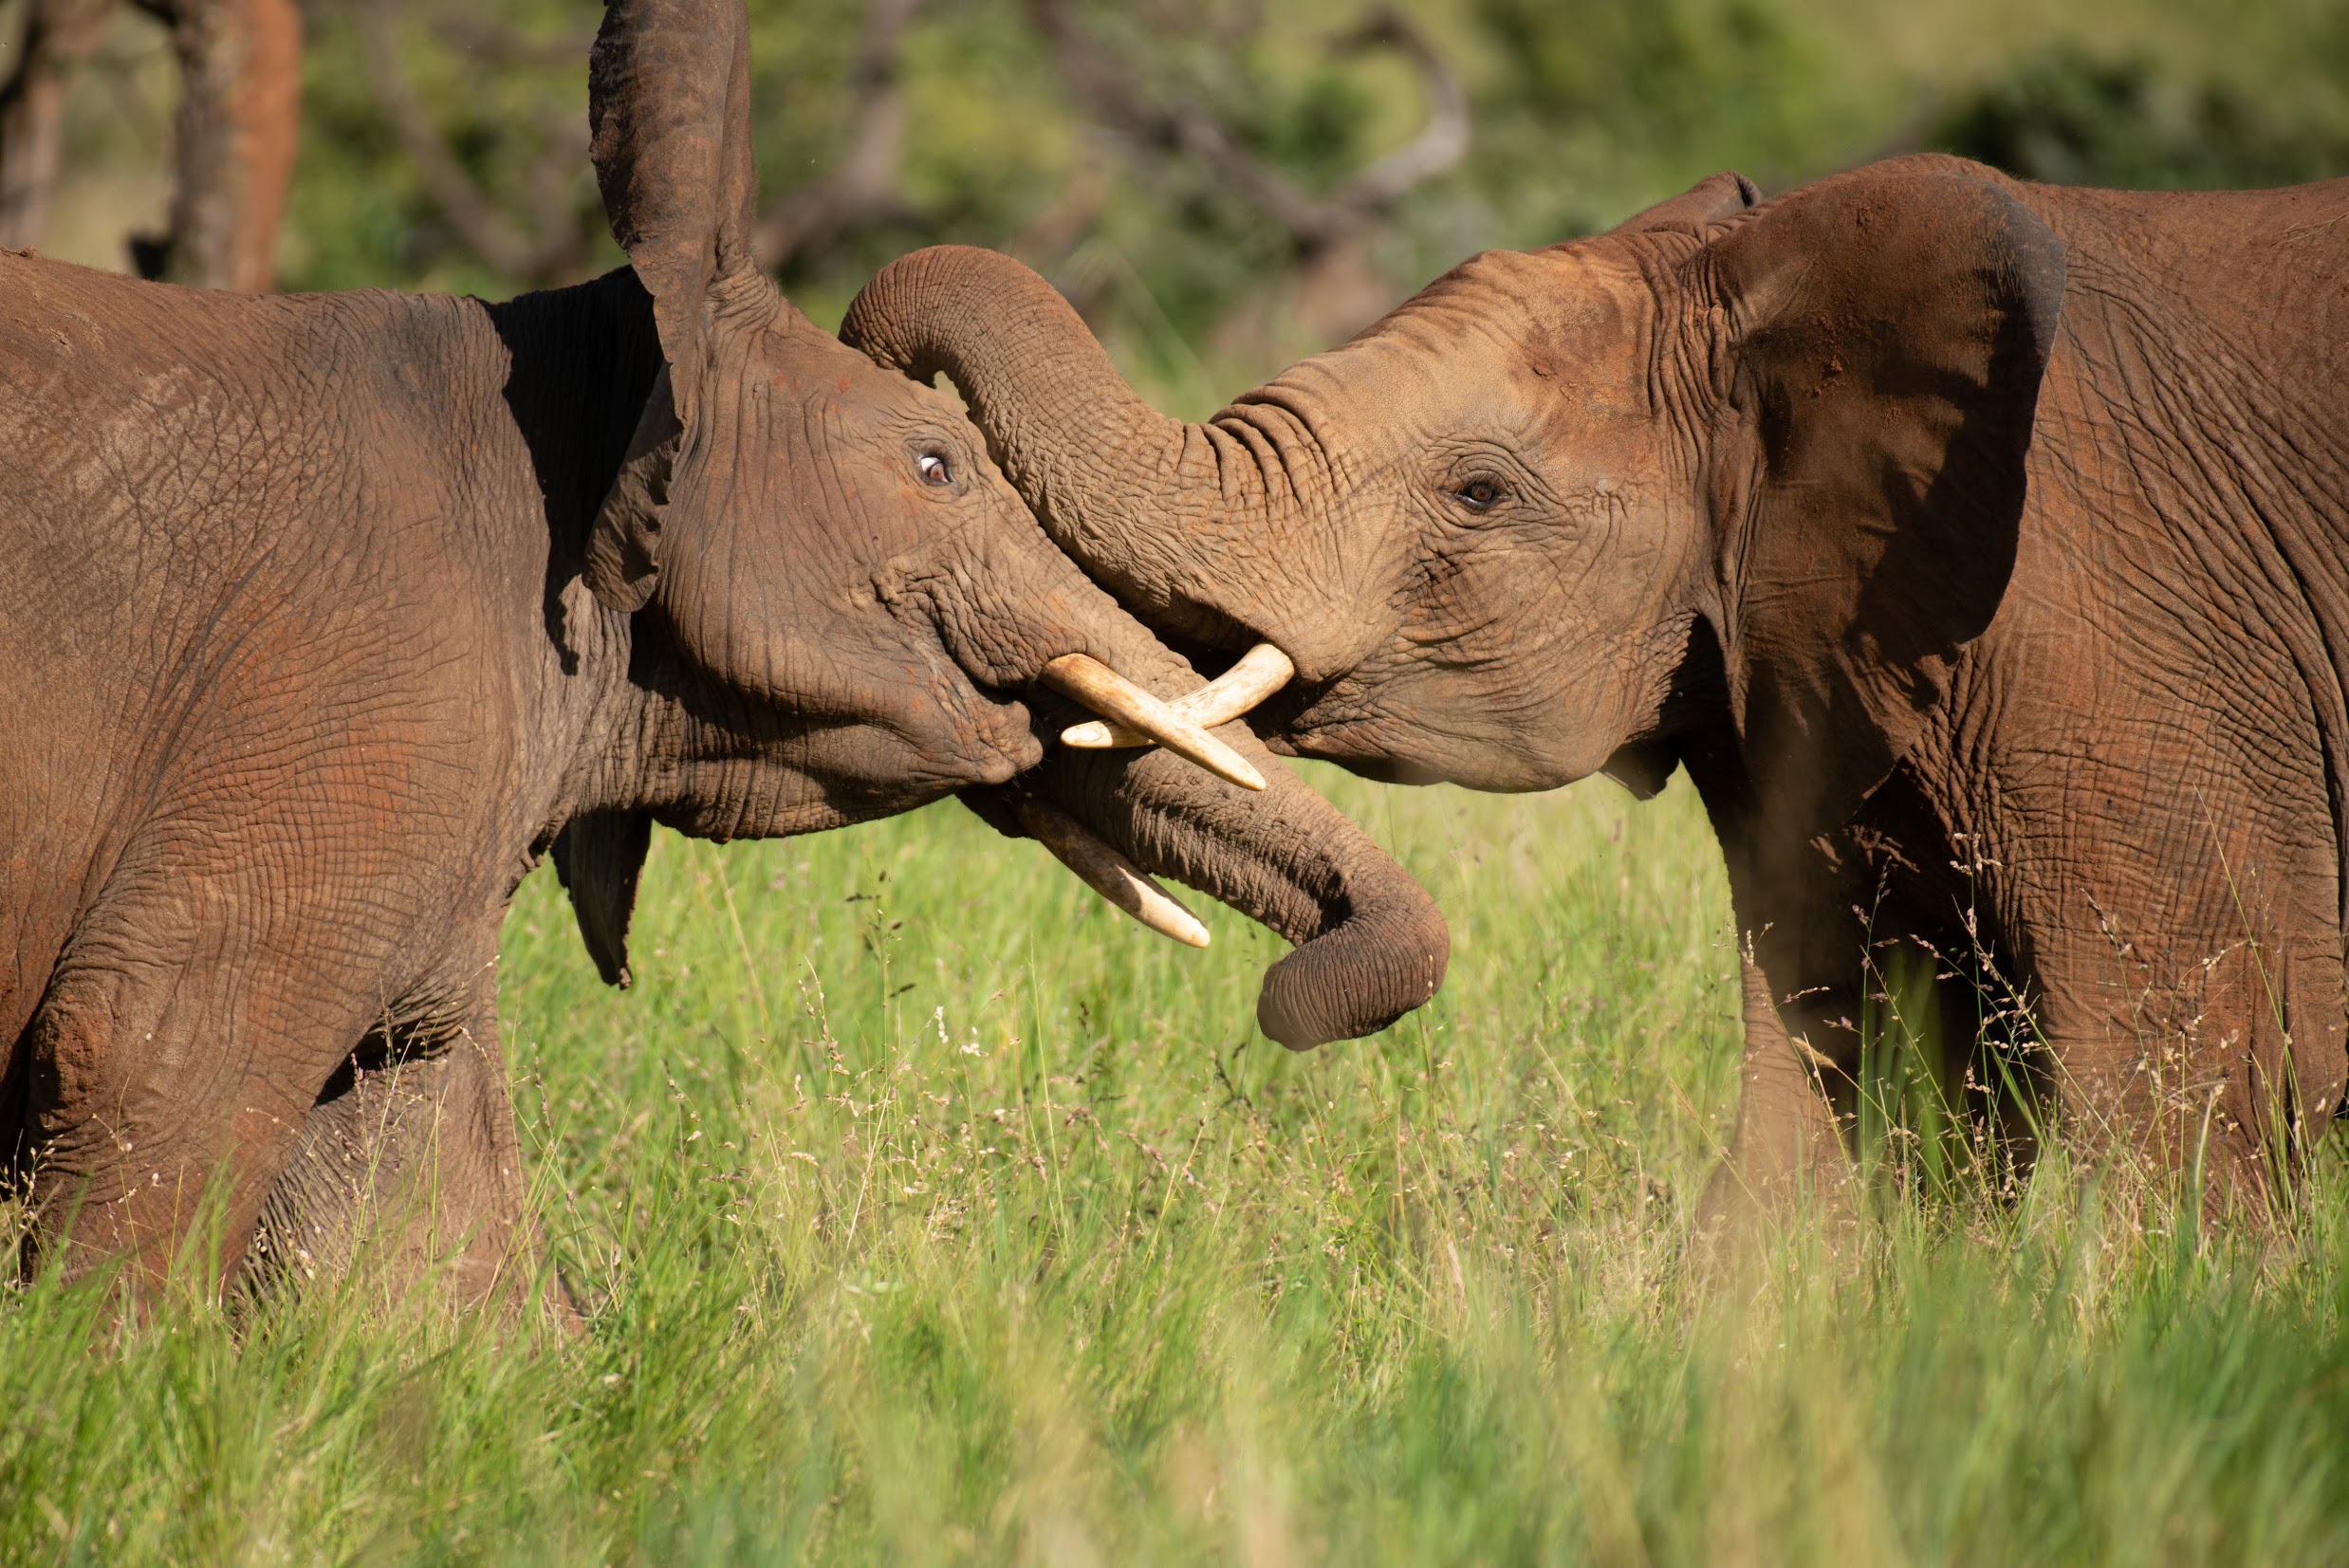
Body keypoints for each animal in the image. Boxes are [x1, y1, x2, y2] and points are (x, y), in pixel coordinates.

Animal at [841, 152, 2349, 1220]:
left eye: (1479, 492)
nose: (1290, 993)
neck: (1773, 284)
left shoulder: (2119, 643)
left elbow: (2181, 1094)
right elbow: (1831, 1077)